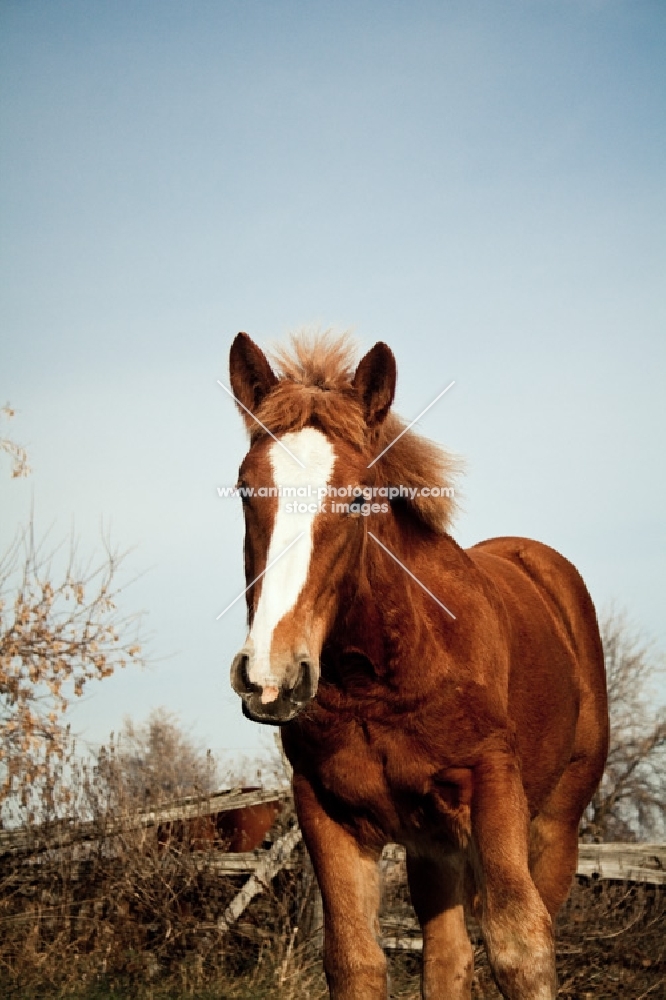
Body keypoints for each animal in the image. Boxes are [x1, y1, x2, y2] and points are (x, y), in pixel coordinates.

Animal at [227, 332, 608, 996]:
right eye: (246, 490)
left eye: (358, 498)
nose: (270, 678)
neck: (377, 682)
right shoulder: (327, 812)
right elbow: (355, 959)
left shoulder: (493, 785)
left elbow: (520, 946)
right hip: (434, 846)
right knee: (448, 958)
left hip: (555, 824)